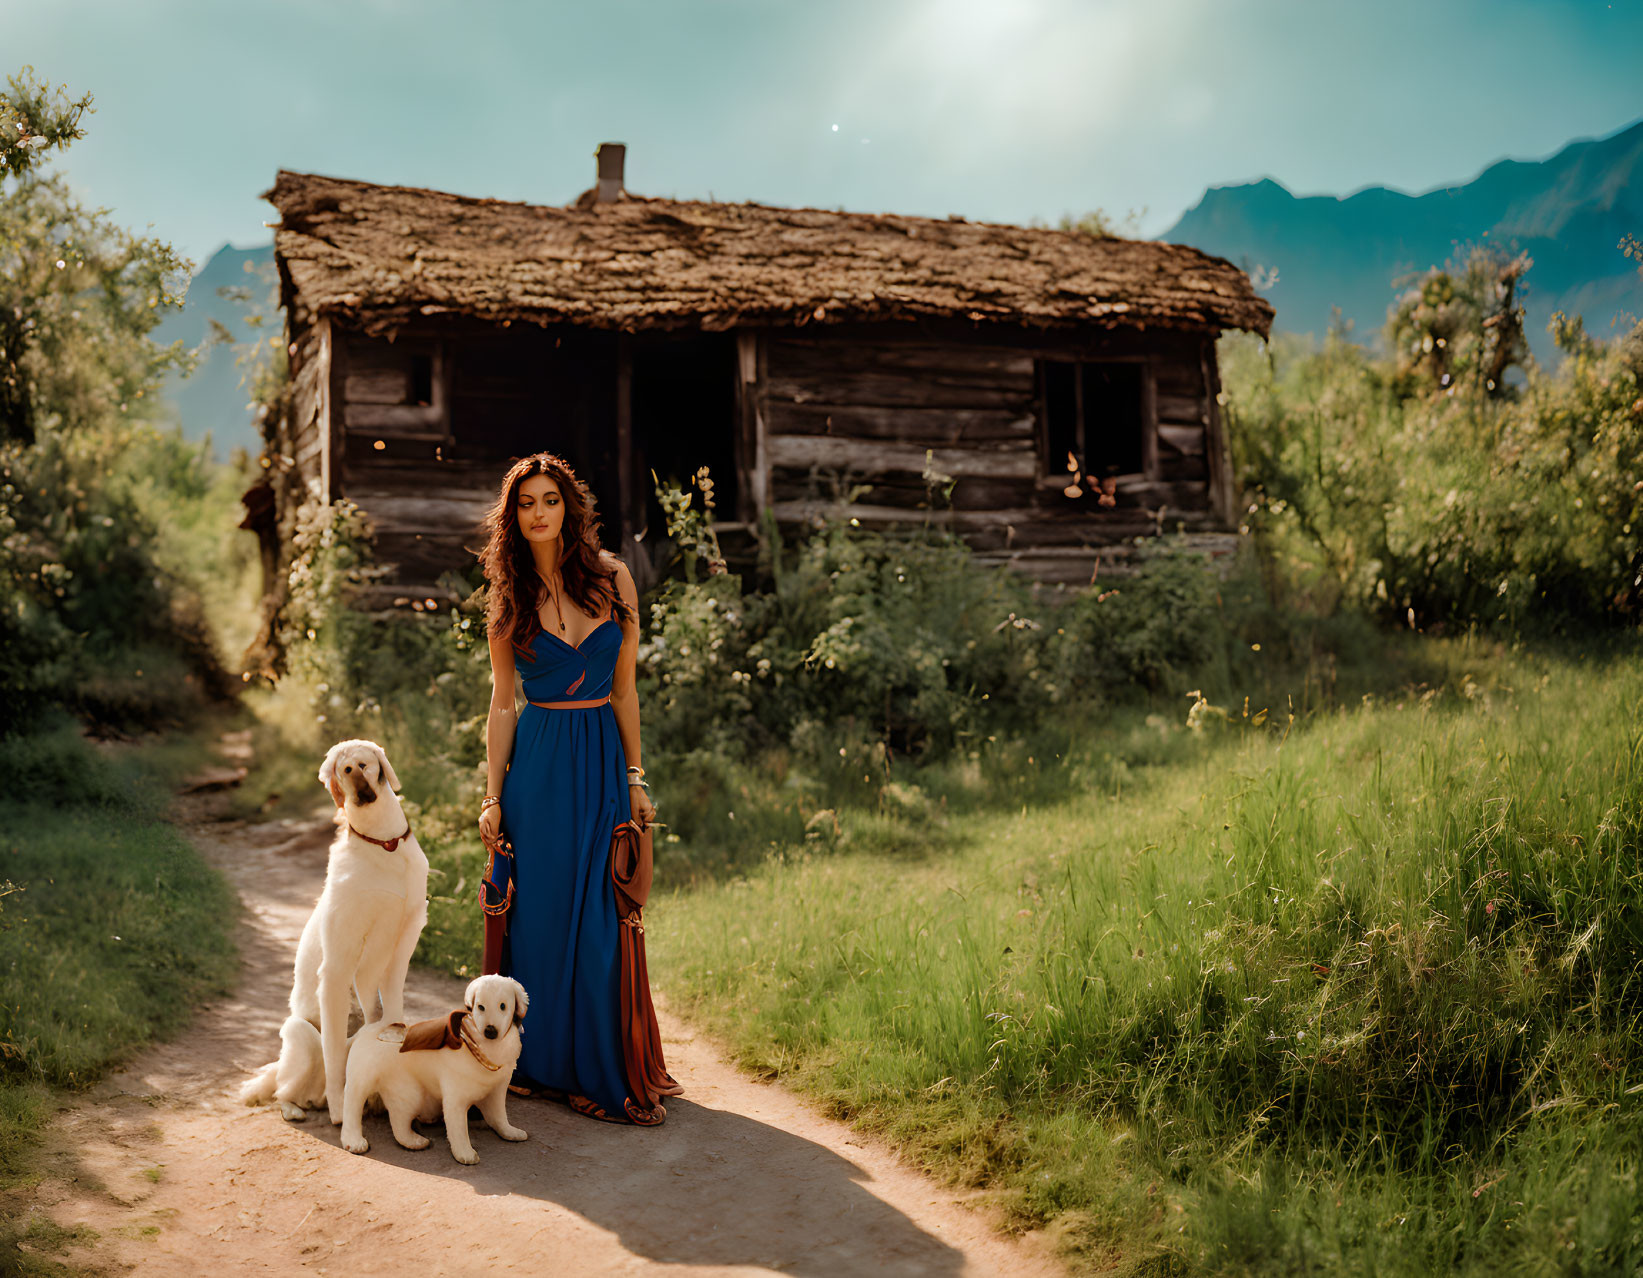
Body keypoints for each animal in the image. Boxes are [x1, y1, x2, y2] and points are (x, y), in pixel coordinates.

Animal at [239, 735, 430, 1117]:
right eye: (343, 769)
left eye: (364, 764)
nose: (359, 790)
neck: (383, 846)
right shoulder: (341, 956)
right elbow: (336, 1055)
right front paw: (342, 1110)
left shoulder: (406, 934)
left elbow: (392, 1003)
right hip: (299, 1033)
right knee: (284, 1089)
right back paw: (297, 1107)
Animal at [340, 972, 525, 1163]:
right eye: (480, 1007)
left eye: (503, 1006)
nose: (490, 1031)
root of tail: (369, 1028)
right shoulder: (455, 1097)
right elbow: (458, 1128)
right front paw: (465, 1154)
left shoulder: (498, 1089)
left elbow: (499, 1116)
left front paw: (511, 1132)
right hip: (364, 1077)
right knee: (353, 1102)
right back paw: (354, 1141)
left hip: (407, 1091)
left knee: (399, 1120)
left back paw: (415, 1141)